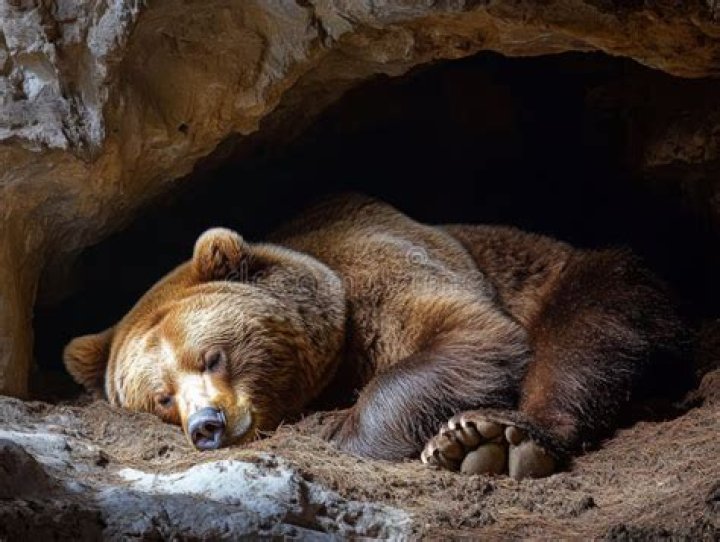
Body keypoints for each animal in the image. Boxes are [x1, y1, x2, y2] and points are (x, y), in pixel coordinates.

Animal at [64, 194, 689, 479]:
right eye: (161, 397)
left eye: (213, 355)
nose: (207, 425)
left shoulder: (377, 268)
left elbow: (473, 334)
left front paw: (342, 434)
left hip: (573, 273)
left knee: (586, 333)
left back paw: (495, 439)